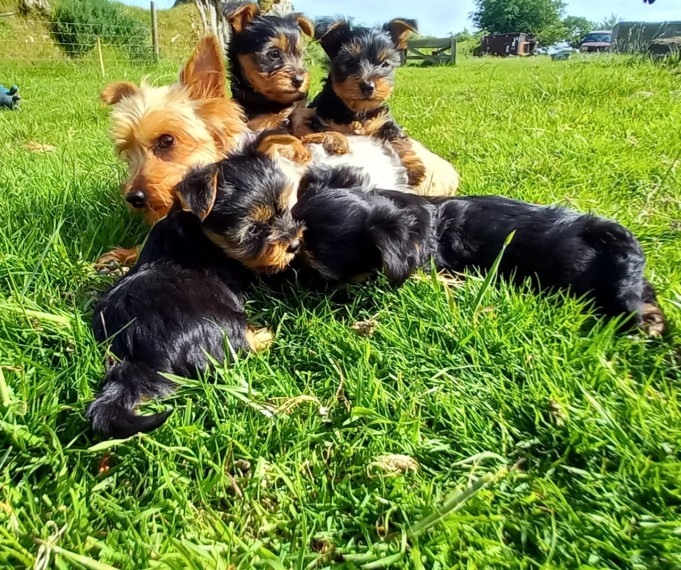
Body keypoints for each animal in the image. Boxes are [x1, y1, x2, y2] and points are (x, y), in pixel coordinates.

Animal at [290, 18, 456, 195]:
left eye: (385, 64)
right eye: (349, 63)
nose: (368, 86)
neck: (357, 111)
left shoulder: (383, 121)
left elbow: (398, 140)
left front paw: (414, 169)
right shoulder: (323, 118)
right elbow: (326, 131)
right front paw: (337, 142)